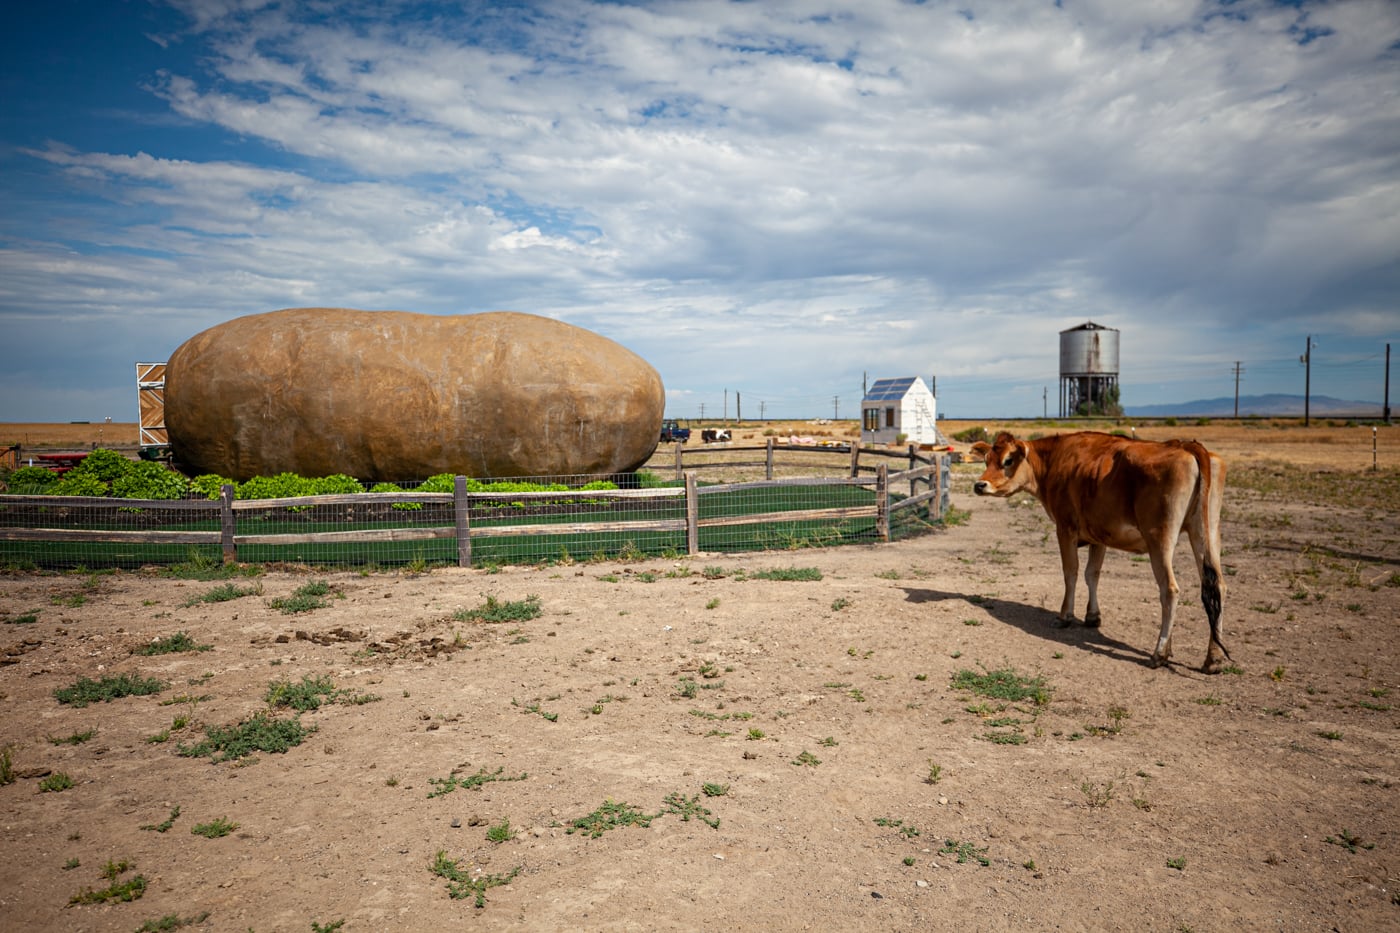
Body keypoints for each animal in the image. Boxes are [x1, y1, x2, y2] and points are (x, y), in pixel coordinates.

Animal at [968, 428, 1232, 669]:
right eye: (986, 459)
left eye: (1008, 461)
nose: (980, 485)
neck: (1054, 461)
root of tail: (1186, 445)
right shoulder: (1099, 536)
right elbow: (1092, 574)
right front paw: (1092, 616)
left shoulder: (1065, 529)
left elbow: (1071, 572)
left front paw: (1065, 615)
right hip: (1207, 532)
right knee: (1217, 585)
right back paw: (1213, 657)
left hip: (1160, 538)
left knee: (1170, 590)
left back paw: (1160, 652)